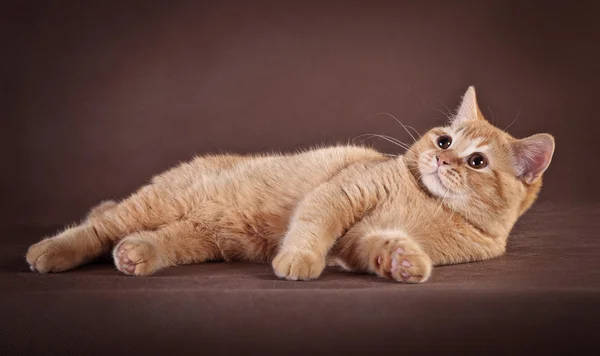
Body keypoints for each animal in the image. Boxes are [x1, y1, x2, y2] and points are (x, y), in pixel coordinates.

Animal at [25, 87, 556, 284]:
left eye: (476, 160)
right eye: (444, 139)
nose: (440, 157)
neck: (429, 203)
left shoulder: (362, 240)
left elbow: (381, 245)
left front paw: (405, 263)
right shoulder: (342, 193)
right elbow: (312, 226)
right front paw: (298, 260)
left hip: (197, 239)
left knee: (150, 242)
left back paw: (135, 255)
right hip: (160, 202)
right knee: (95, 229)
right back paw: (49, 252)